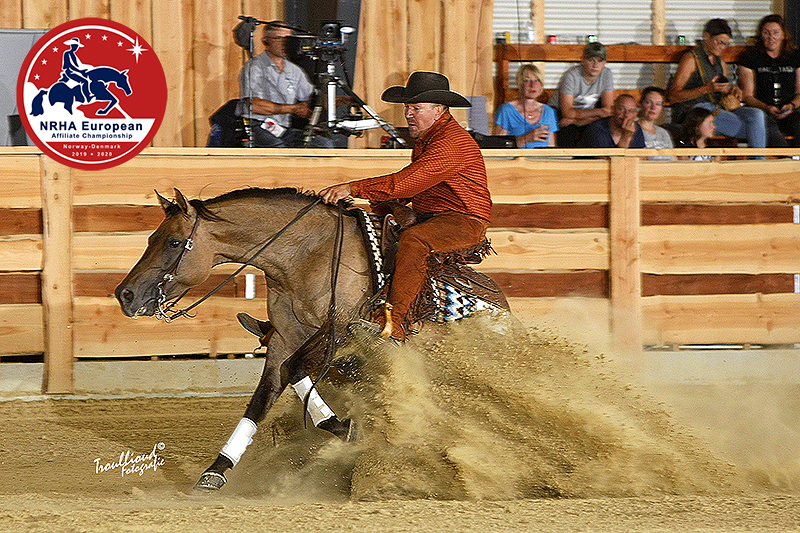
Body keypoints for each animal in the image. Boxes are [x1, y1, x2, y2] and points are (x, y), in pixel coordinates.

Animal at [115, 189, 510, 492]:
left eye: (174, 242)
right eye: (150, 239)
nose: (125, 295)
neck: (305, 256)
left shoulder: (340, 330)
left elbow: (295, 371)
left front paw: (348, 429)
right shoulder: (284, 338)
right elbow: (265, 395)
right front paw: (216, 470)